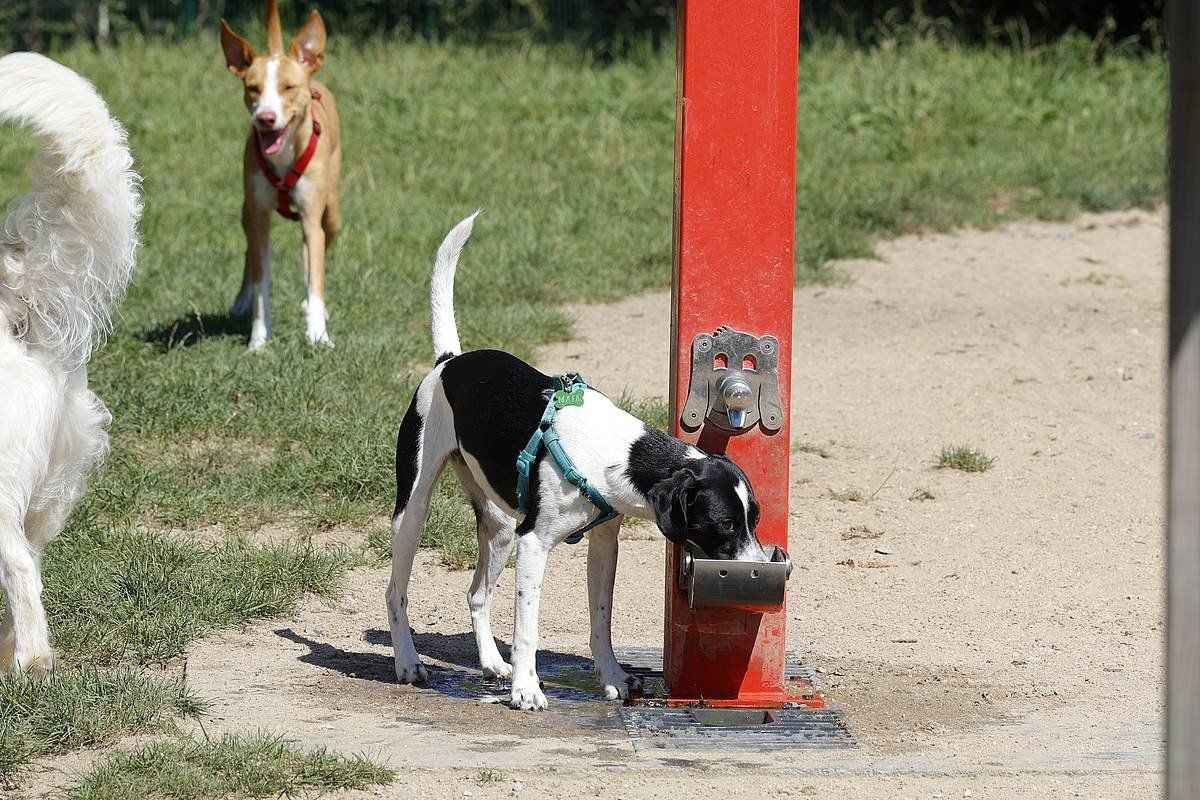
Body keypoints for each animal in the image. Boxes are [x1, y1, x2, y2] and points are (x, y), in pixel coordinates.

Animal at [219, 0, 340, 350]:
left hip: (332, 212)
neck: (285, 155)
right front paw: (259, 339)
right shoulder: (259, 215)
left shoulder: (313, 216)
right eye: (253, 89)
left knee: (315, 249)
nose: (266, 118)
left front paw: (318, 335)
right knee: (253, 251)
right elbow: (261, 282)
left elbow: (314, 277)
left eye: (288, 87)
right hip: (247, 212)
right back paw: (241, 301)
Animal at [388, 209, 772, 710]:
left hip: (498, 528)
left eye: (755, 519)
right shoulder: (534, 542)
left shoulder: (605, 541)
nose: (759, 566)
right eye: (726, 523)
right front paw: (526, 689)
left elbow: (601, 619)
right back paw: (408, 663)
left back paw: (491, 663)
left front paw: (612, 677)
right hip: (414, 512)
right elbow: (528, 627)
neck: (616, 451)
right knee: (396, 592)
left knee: (476, 595)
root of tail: (450, 362)